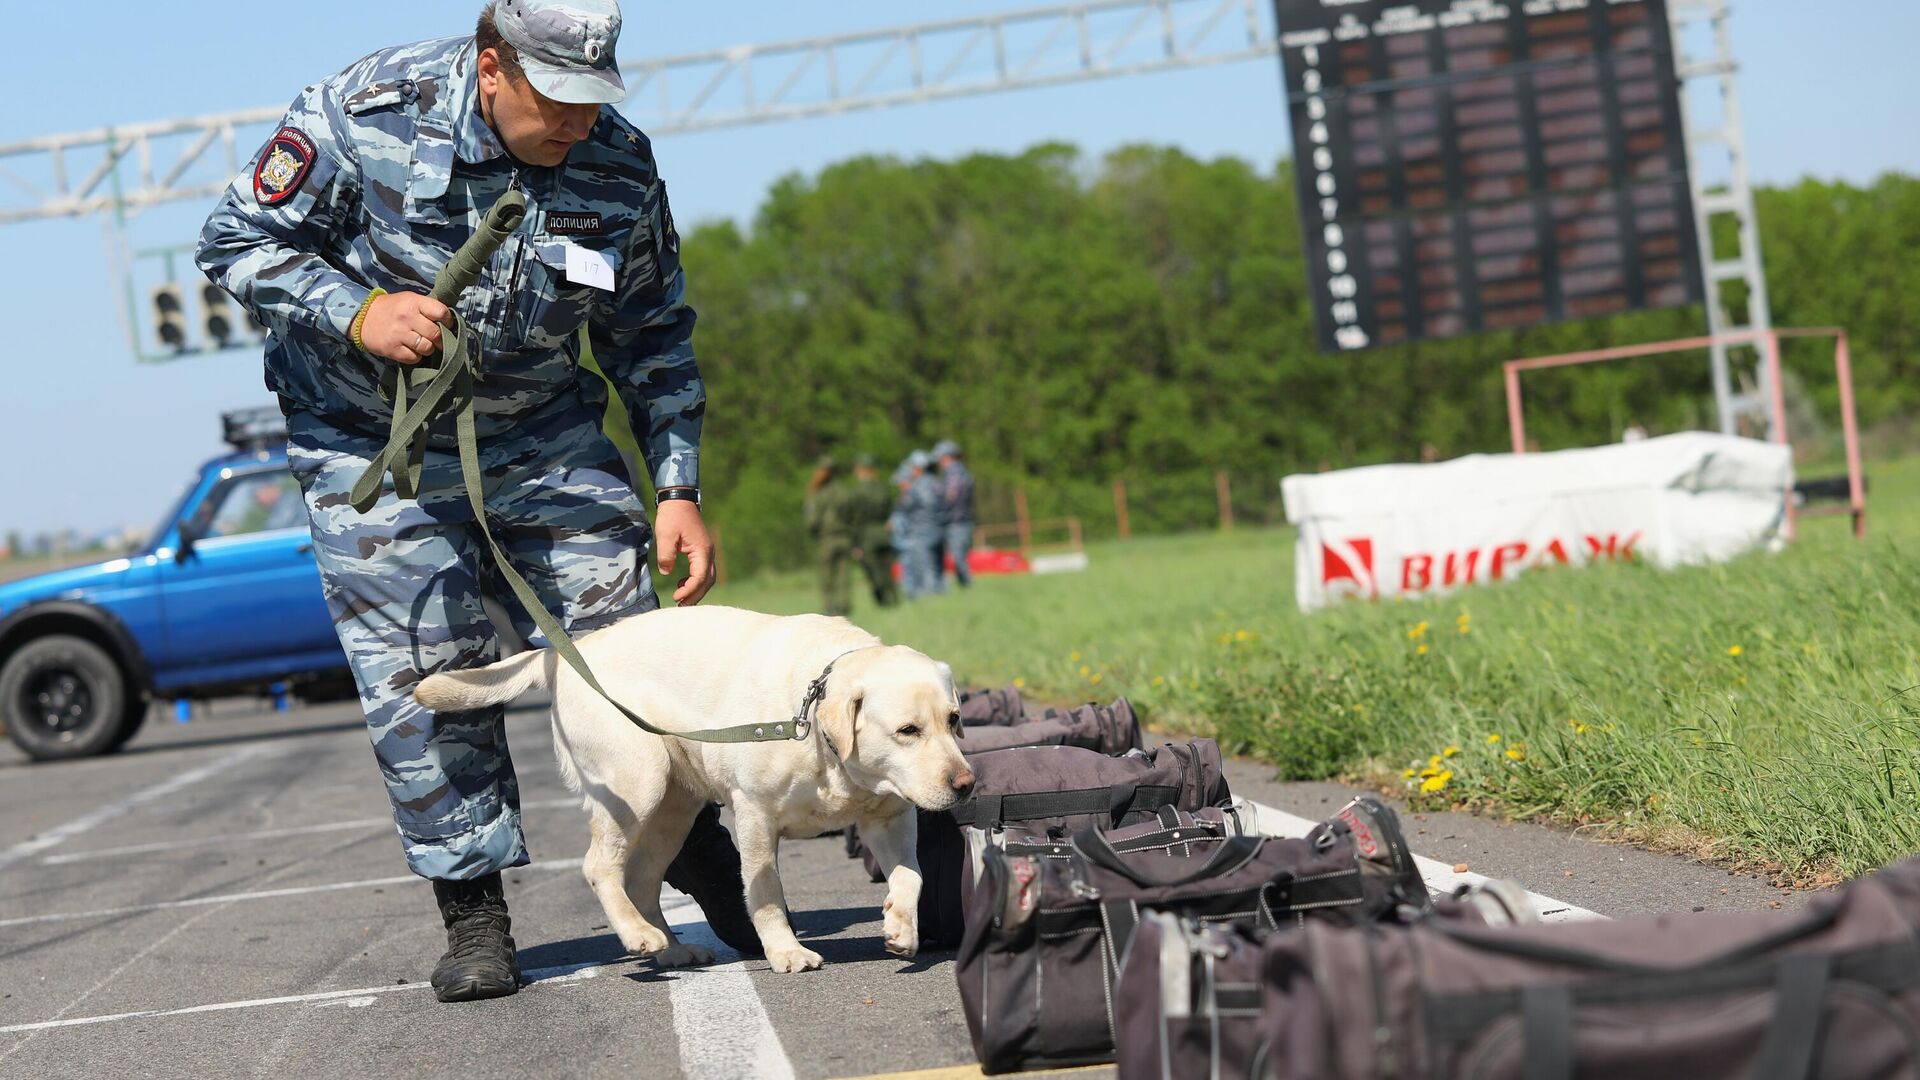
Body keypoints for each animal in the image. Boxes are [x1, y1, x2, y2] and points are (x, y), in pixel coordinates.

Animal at [410, 607, 967, 968]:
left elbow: (911, 876)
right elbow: (765, 892)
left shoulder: (891, 818)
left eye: (954, 720)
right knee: (599, 868)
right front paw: (785, 951)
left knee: (640, 880)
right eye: (907, 730)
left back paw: (672, 948)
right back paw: (639, 937)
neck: (813, 723)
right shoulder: (755, 815)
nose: (965, 784)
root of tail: (570, 653)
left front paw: (901, 927)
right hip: (636, 784)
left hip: (672, 811)